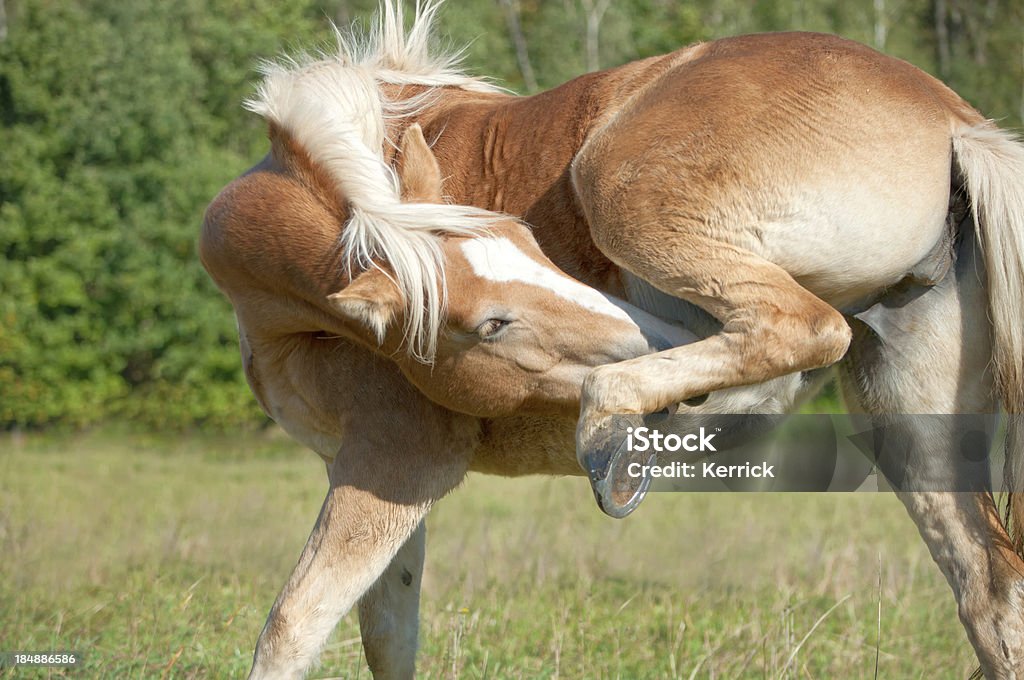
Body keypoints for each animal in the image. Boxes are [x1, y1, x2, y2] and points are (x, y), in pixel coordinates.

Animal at [199, 2, 1024, 675]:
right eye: (492, 320)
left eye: (531, 242)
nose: (653, 338)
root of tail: (951, 116)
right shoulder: (372, 477)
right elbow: (388, 634)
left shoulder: (393, 463)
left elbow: (293, 627)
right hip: (912, 427)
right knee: (992, 595)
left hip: (622, 190)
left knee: (802, 328)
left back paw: (624, 427)